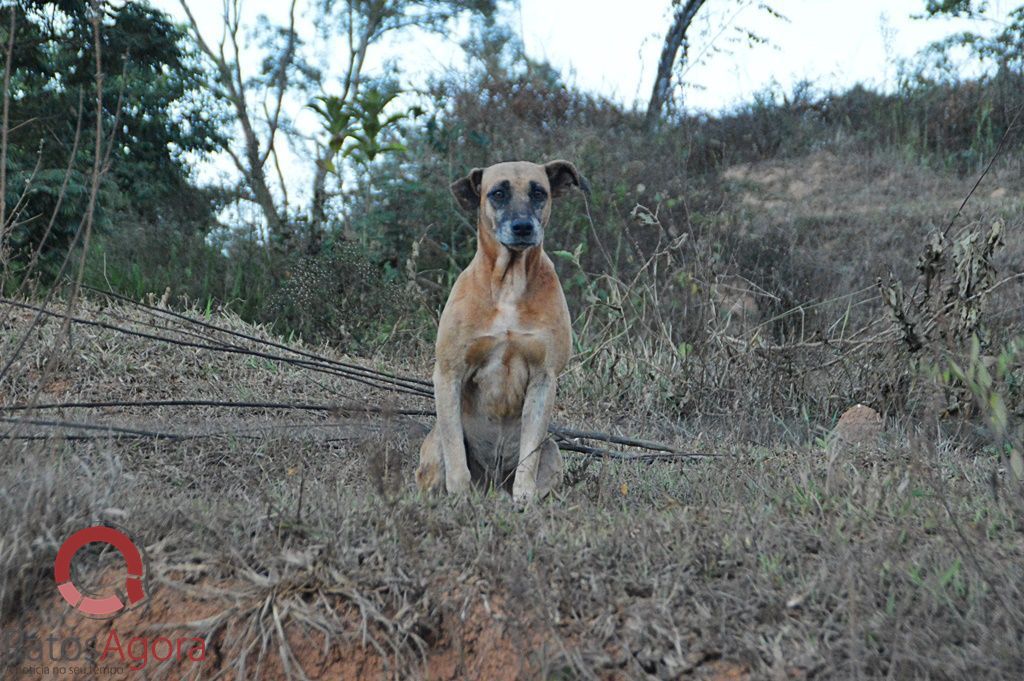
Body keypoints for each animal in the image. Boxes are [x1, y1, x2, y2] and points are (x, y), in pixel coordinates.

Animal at [411, 157, 581, 499]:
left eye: (539, 192)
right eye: (498, 193)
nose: (523, 227)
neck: (509, 284)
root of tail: (491, 484)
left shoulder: (544, 377)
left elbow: (530, 450)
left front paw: (524, 495)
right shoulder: (448, 372)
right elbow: (454, 449)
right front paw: (459, 494)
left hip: (553, 452)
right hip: (432, 450)